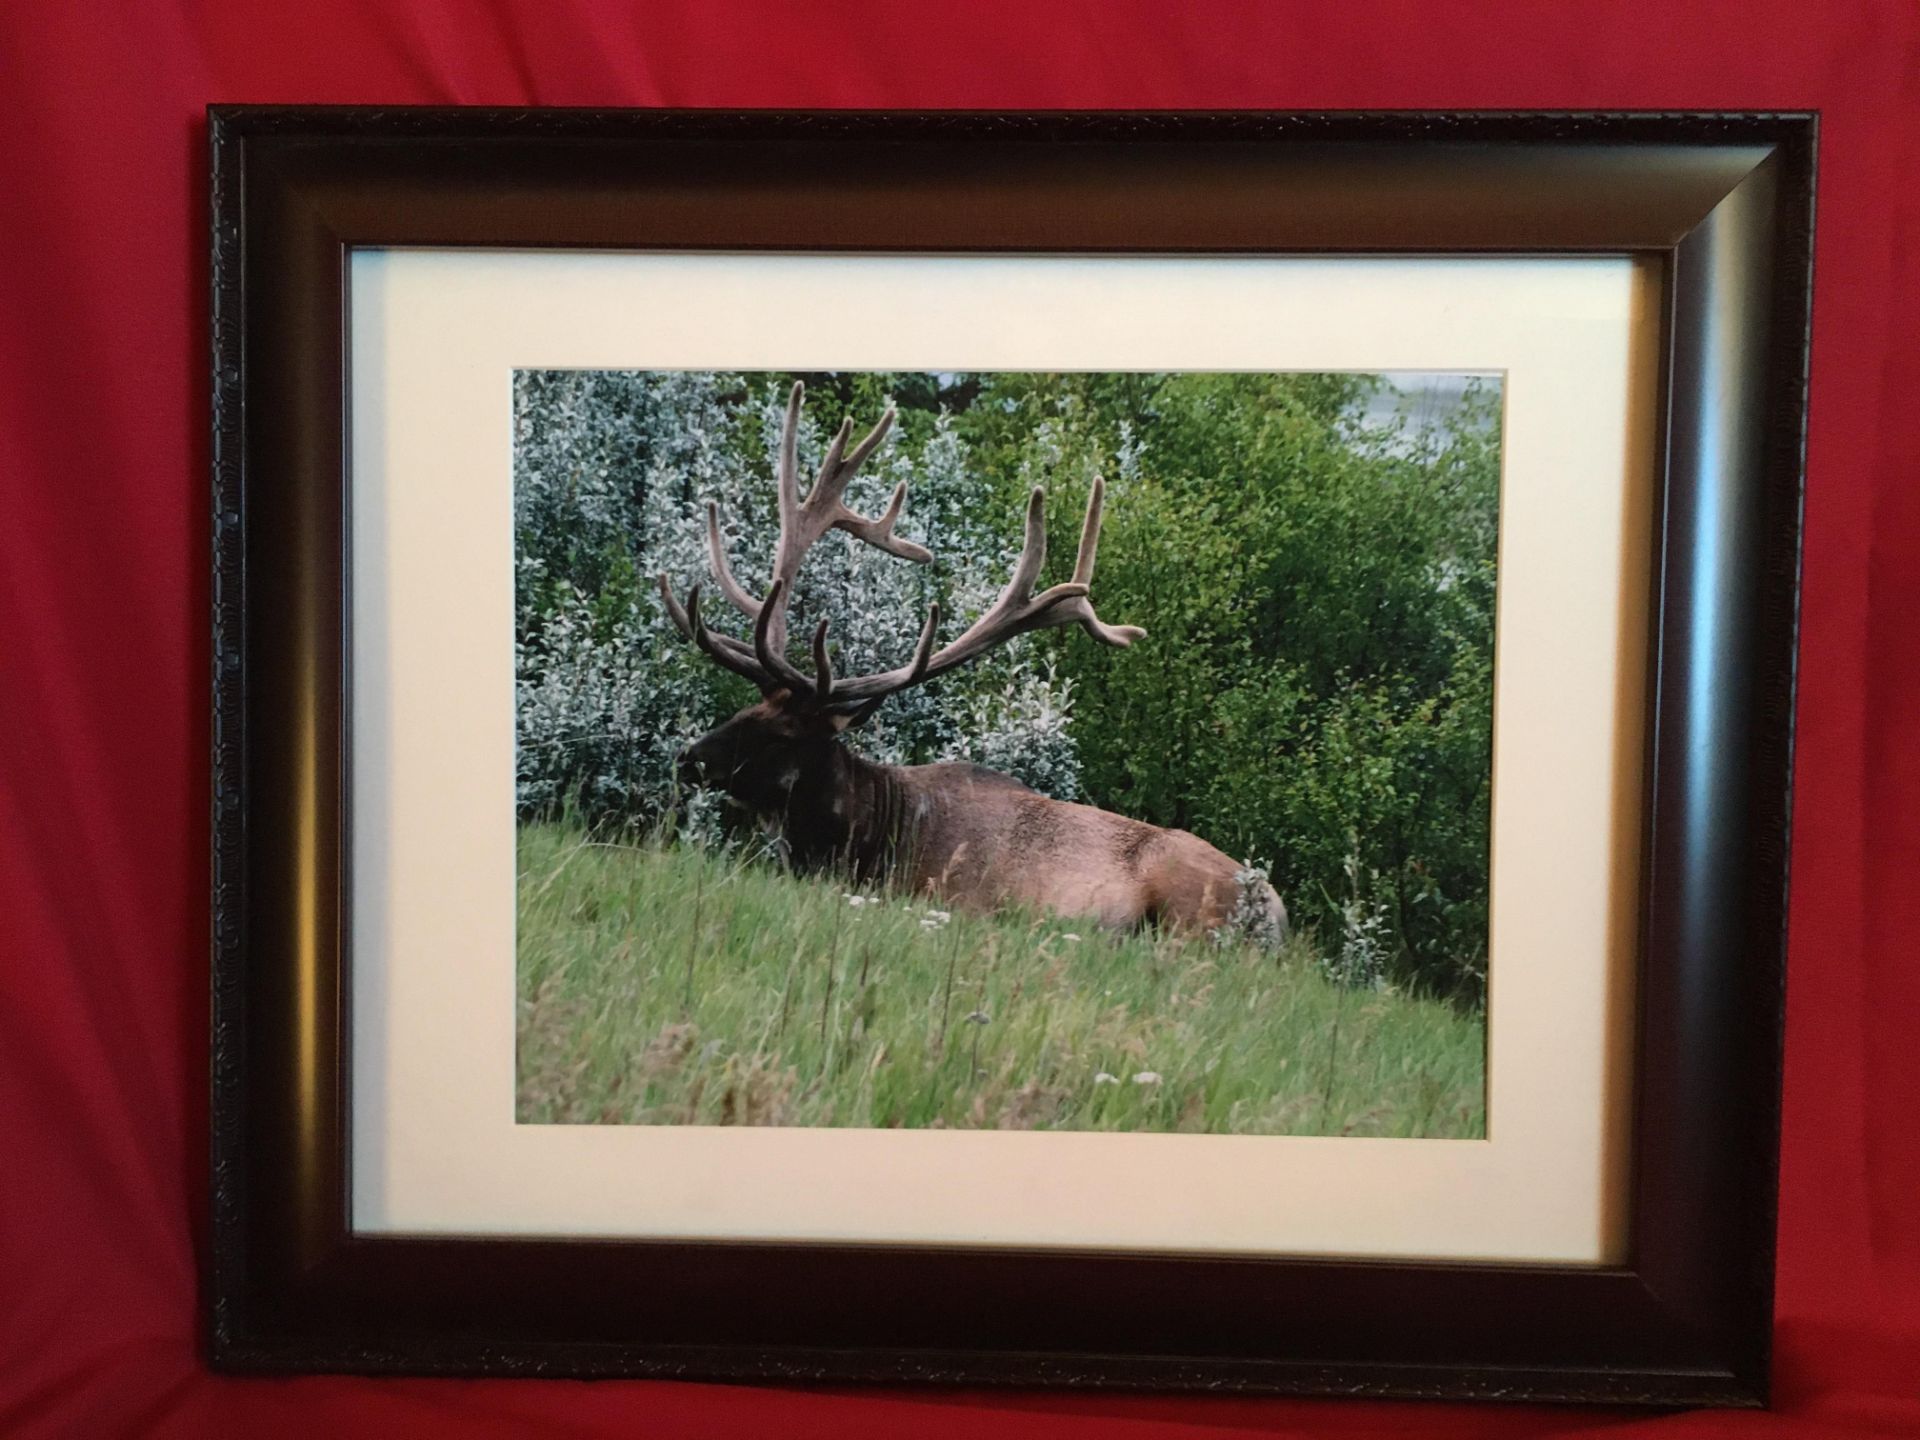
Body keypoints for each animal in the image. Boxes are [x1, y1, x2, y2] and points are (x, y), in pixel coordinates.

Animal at [664, 384, 1290, 948]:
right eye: (747, 709)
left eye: (782, 733)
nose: (689, 758)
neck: (866, 838)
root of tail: (1276, 915)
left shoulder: (954, 895)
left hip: (1185, 907)